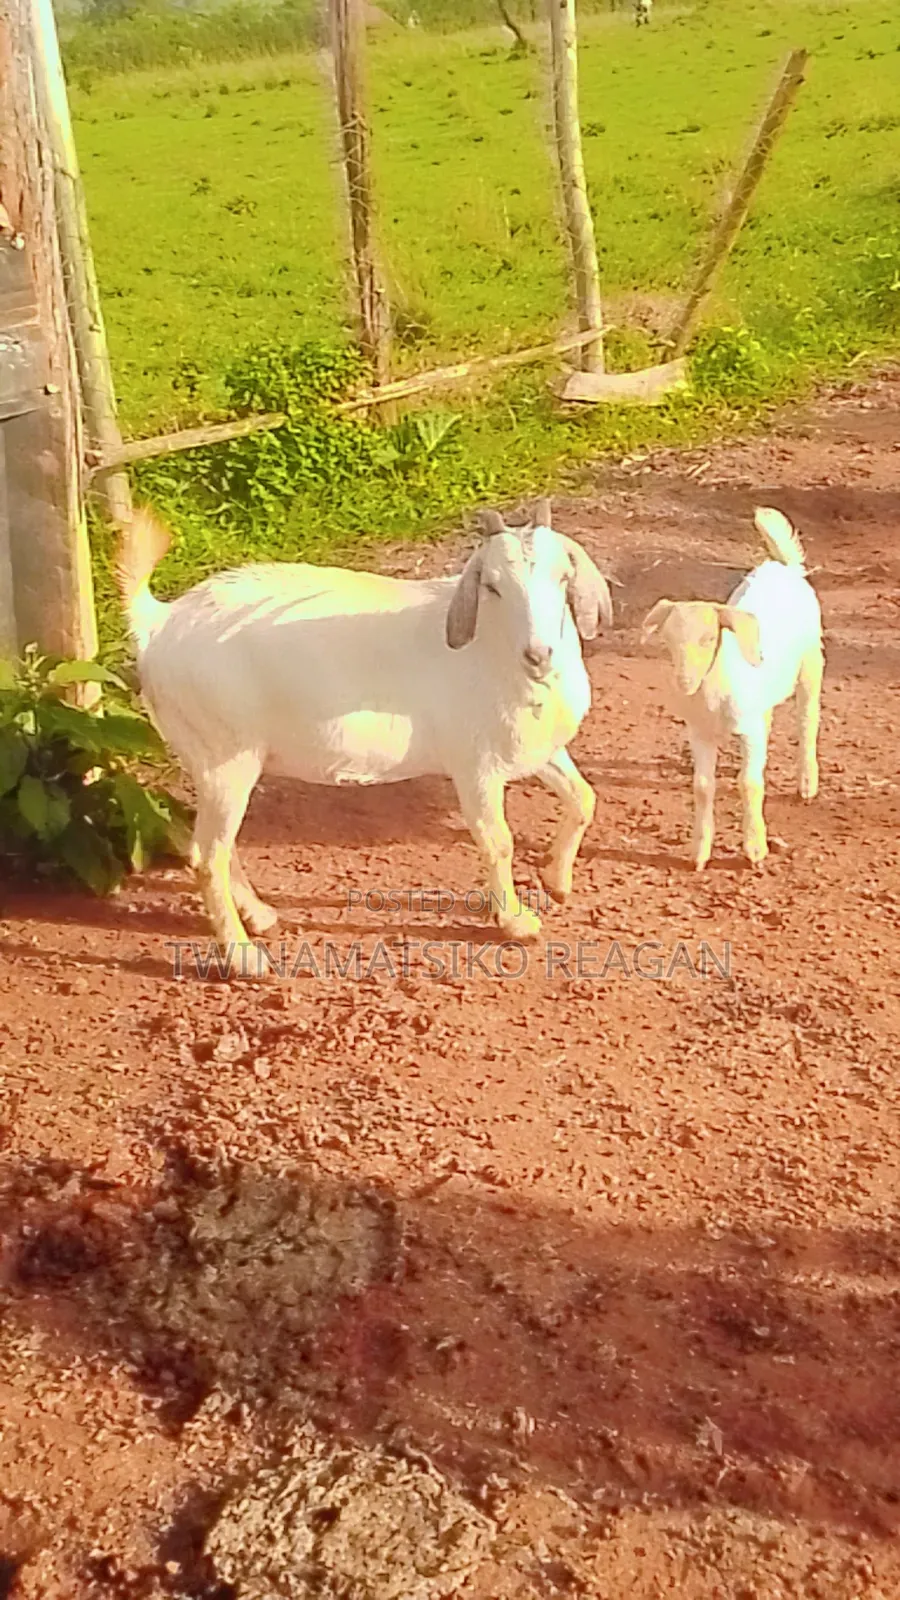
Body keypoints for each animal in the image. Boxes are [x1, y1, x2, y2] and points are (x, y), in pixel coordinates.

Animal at [117, 499, 613, 972]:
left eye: (563, 576)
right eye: (491, 586)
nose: (540, 654)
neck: (492, 653)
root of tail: (159, 623)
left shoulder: (542, 751)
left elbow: (584, 799)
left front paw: (557, 881)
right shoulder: (475, 766)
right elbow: (498, 842)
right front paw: (515, 922)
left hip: (215, 763)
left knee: (220, 846)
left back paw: (259, 916)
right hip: (225, 756)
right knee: (206, 856)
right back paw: (243, 957)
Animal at [640, 506, 823, 872]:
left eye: (710, 638)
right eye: (668, 640)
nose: (684, 683)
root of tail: (783, 567)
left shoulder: (749, 732)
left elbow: (749, 783)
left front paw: (755, 849)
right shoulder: (699, 733)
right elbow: (702, 786)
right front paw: (699, 853)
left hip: (811, 662)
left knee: (807, 721)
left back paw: (807, 784)